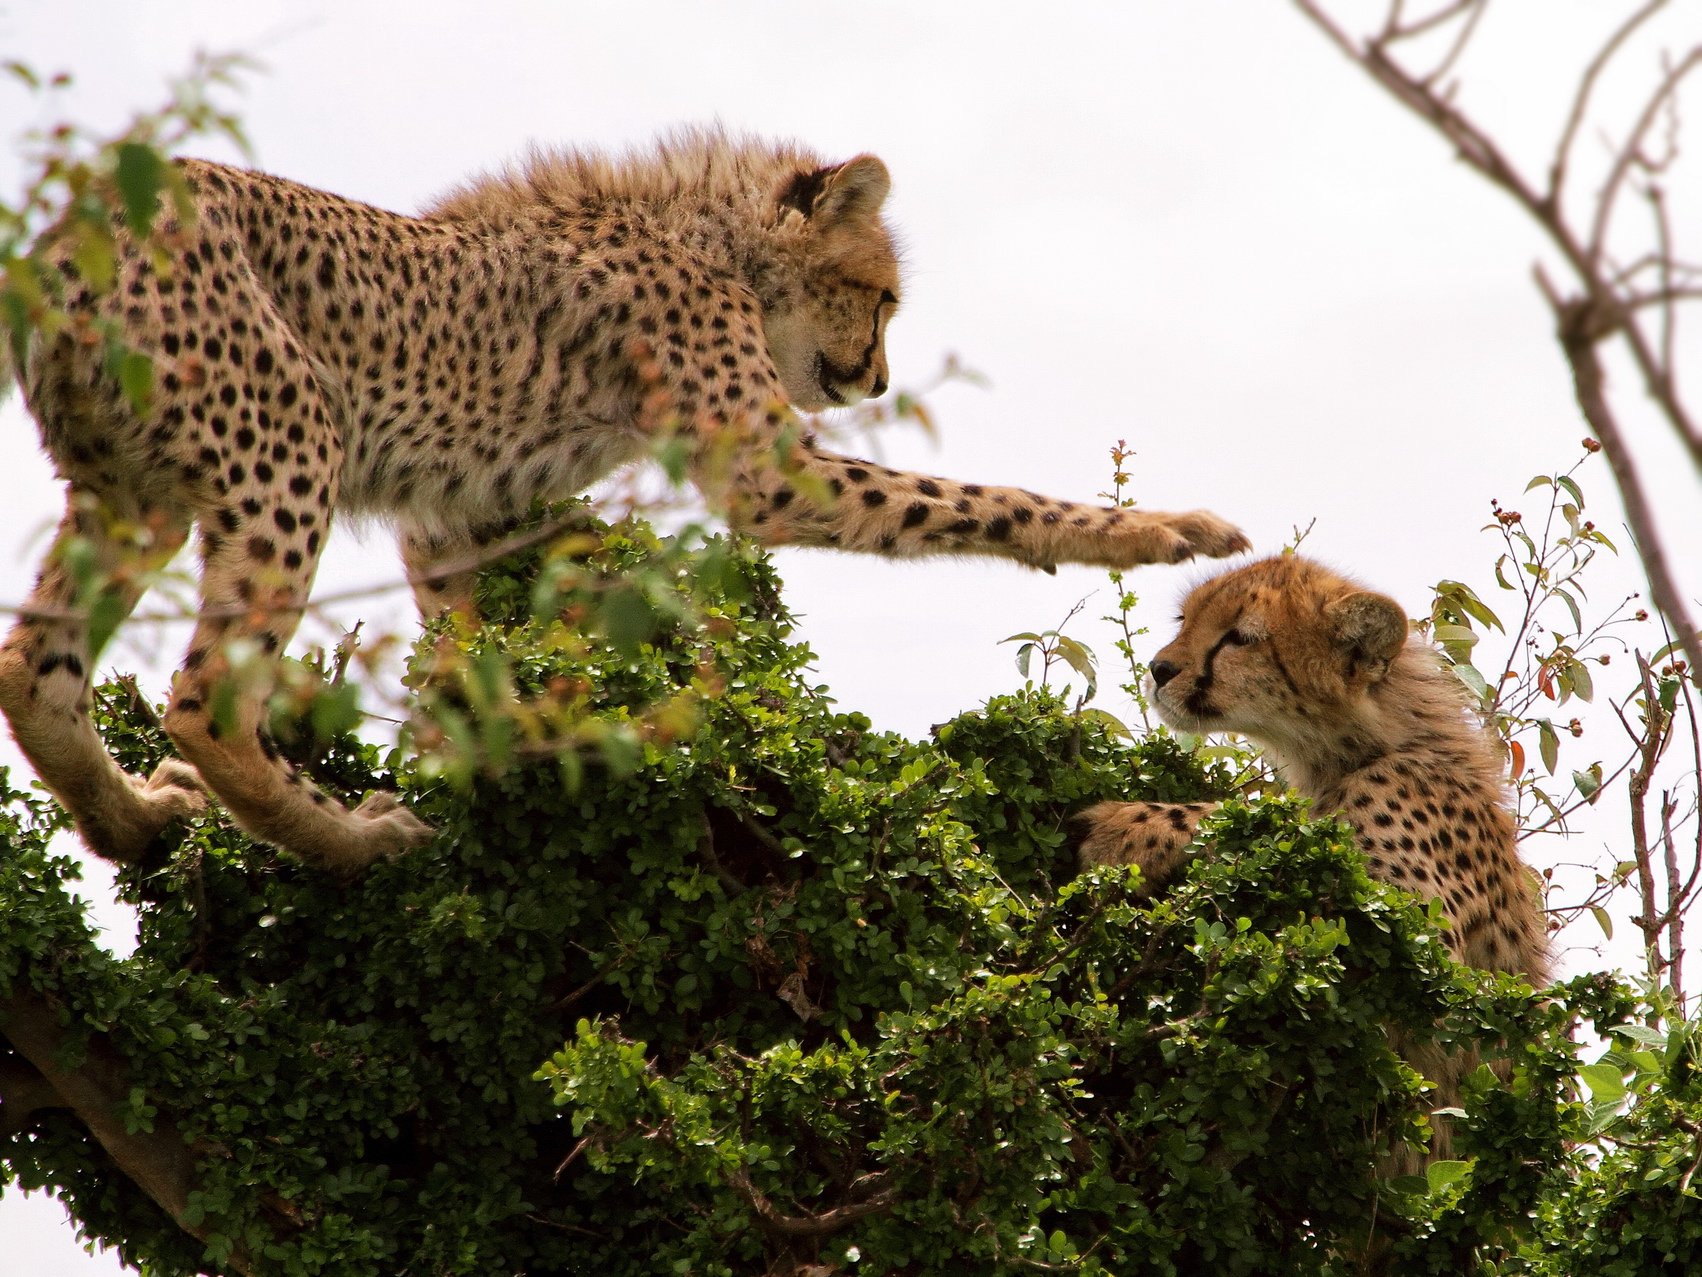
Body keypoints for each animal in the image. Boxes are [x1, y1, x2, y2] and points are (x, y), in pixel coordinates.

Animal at [3, 135, 1252, 885]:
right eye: (883, 297)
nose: (877, 379)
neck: (710, 237)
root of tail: (68, 225)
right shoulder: (763, 467)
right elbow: (968, 497)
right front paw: (1151, 529)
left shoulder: (457, 516)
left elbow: (504, 618)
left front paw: (519, 725)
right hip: (288, 442)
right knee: (208, 701)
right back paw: (355, 839)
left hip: (131, 492)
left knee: (33, 670)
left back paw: (131, 819)